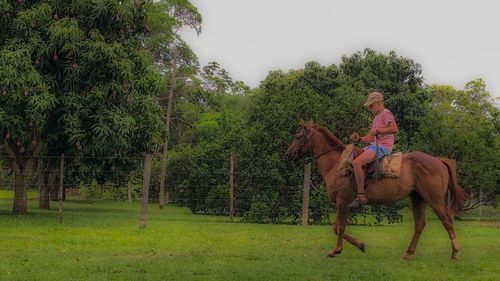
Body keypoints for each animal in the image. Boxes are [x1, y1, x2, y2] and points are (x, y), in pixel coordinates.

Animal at [286, 120, 468, 258]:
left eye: (297, 136)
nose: (288, 154)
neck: (337, 164)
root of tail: (438, 160)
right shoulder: (345, 205)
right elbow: (337, 227)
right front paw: (360, 245)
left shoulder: (342, 202)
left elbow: (340, 227)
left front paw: (336, 250)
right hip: (418, 198)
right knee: (419, 224)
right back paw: (409, 253)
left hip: (435, 199)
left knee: (447, 221)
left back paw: (455, 252)